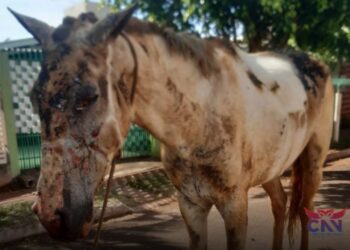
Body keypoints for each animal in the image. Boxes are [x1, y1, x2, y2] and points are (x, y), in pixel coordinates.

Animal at [10, 4, 334, 250]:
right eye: (33, 98)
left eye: (88, 98)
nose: (52, 216)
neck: (199, 121)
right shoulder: (190, 205)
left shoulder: (235, 205)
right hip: (272, 166)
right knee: (280, 205)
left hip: (313, 164)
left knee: (304, 211)